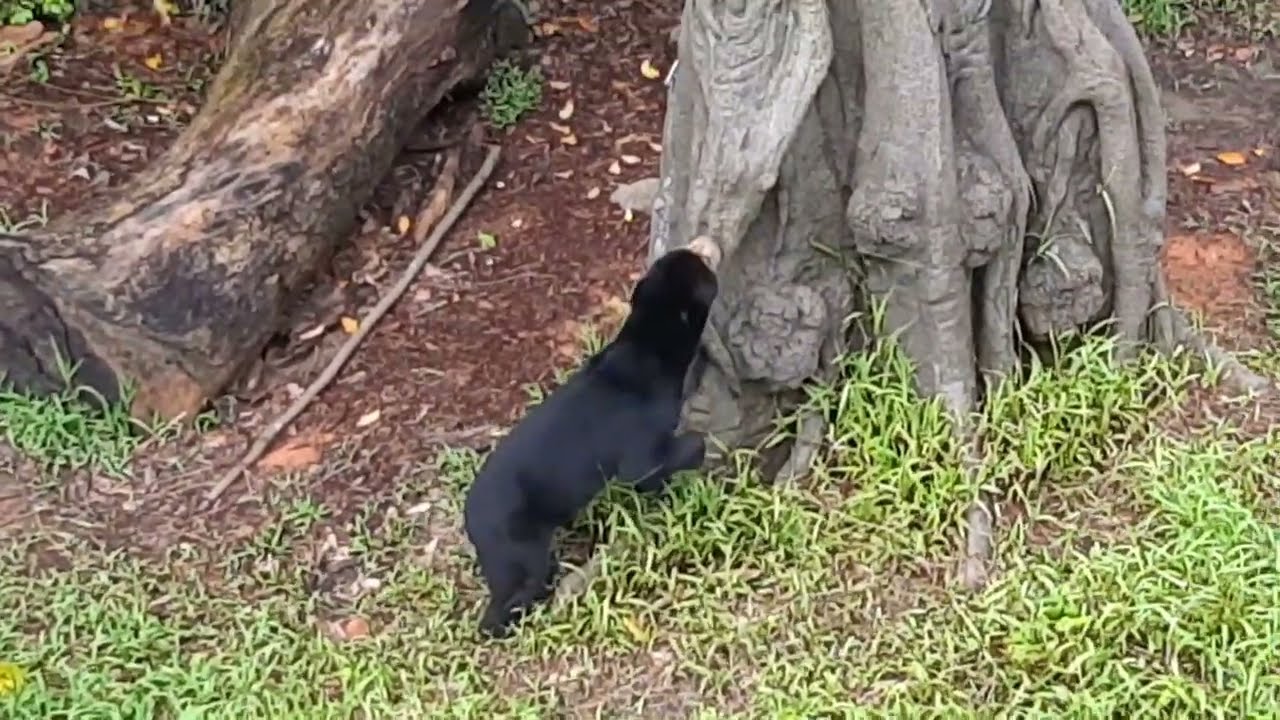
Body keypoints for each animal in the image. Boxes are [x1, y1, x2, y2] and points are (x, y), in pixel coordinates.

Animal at [462, 244, 719, 638]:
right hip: (521, 554)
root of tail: (470, 519)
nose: (702, 253)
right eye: (700, 269)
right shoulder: (639, 454)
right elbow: (672, 454)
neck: (645, 346)